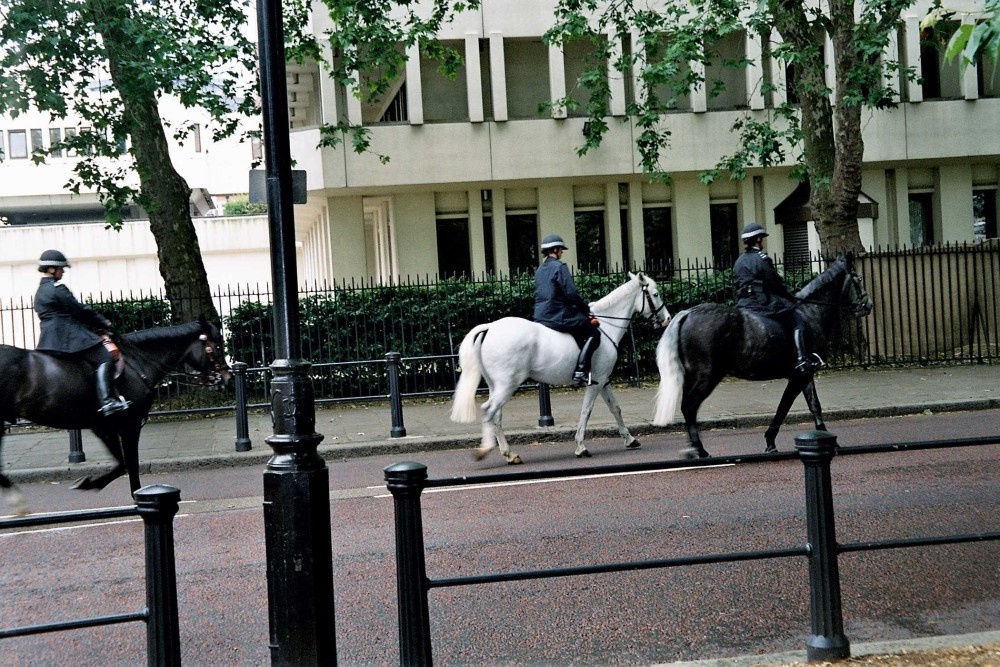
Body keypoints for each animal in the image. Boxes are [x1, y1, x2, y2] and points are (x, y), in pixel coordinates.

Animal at [0, 320, 229, 516]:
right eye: (217, 346)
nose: (227, 378)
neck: (136, 363)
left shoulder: (104, 427)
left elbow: (121, 464)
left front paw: (89, 483)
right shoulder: (130, 425)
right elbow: (131, 464)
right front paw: (138, 498)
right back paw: (17, 502)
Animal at [450, 272, 668, 464]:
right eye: (656, 294)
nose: (666, 319)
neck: (605, 325)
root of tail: (490, 327)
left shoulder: (603, 380)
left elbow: (615, 408)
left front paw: (630, 439)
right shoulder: (596, 382)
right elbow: (586, 410)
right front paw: (581, 446)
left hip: (497, 386)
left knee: (496, 415)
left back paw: (509, 454)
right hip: (507, 384)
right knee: (489, 410)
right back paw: (485, 450)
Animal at [652, 254, 872, 460]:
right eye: (859, 278)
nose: (868, 304)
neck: (811, 312)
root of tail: (687, 313)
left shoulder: (805, 374)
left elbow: (813, 405)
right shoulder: (799, 374)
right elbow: (784, 406)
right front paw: (771, 441)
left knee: (687, 406)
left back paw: (693, 448)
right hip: (707, 375)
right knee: (690, 406)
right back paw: (699, 450)